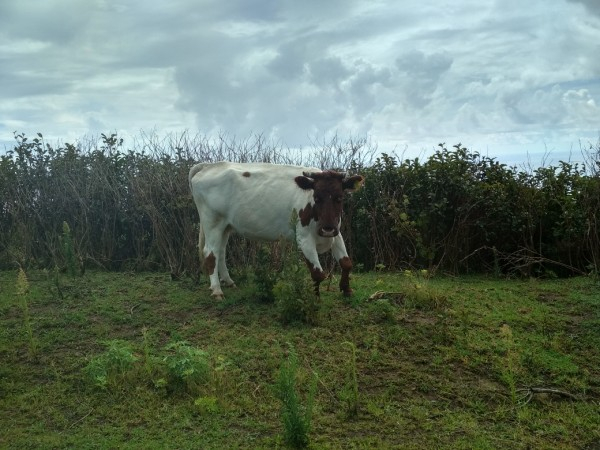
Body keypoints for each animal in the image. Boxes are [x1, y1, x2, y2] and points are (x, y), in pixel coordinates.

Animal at [190, 162, 364, 298]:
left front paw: (347, 289)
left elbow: (346, 263)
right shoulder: (304, 238)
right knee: (210, 253)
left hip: (225, 226)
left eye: (339, 197)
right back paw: (217, 290)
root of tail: (210, 166)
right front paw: (315, 298)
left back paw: (228, 281)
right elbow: (318, 274)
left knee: (220, 251)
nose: (327, 228)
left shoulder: (336, 233)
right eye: (317, 197)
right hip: (212, 222)